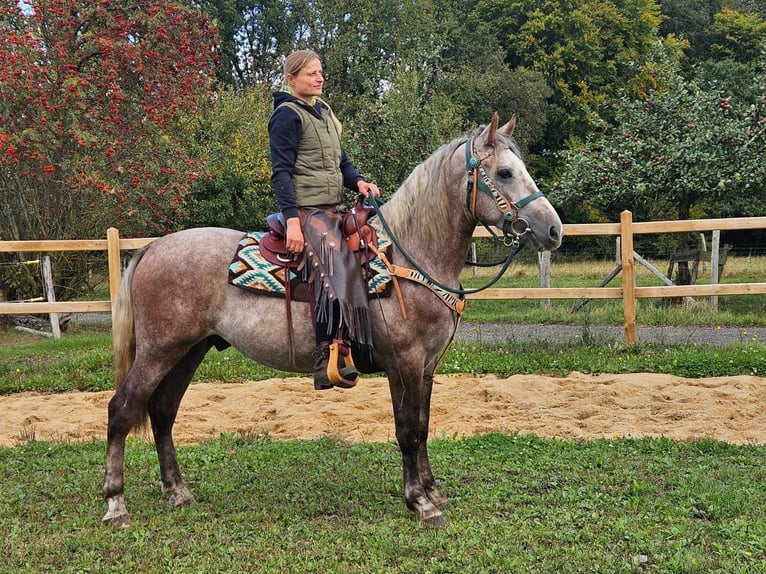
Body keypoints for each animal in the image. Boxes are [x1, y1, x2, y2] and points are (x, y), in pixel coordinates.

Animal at [102, 113, 564, 532]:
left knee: (163, 412)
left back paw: (177, 491)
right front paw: (419, 502)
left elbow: (424, 427)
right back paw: (116, 505)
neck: (408, 255)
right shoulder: (404, 363)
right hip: (159, 351)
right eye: (504, 173)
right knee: (122, 409)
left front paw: (433, 492)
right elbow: (408, 431)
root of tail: (152, 248)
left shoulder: (427, 367)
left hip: (188, 351)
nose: (554, 231)